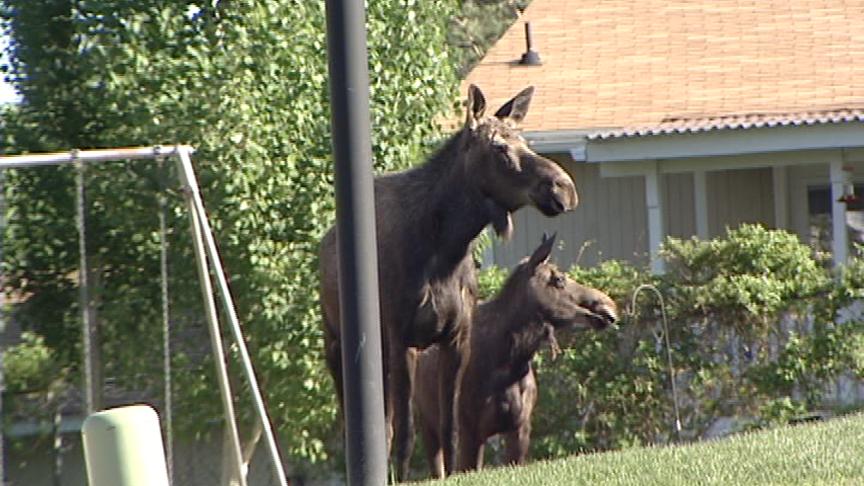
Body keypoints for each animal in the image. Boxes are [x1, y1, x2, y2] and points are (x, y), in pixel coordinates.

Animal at [318, 84, 580, 478]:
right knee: (362, 421)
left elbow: (451, 429)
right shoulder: (401, 336)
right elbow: (404, 432)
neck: (445, 249)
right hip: (337, 343)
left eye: (526, 140)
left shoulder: (456, 338)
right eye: (499, 147)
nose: (564, 189)